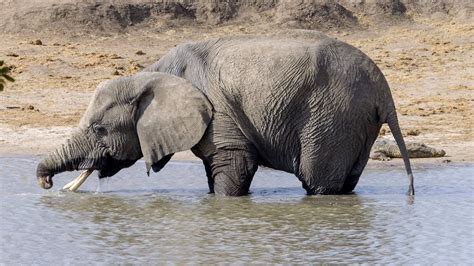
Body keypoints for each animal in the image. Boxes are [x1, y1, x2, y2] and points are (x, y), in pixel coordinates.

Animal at [37, 31, 414, 197]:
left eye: (99, 129)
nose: (46, 183)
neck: (151, 73)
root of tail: (384, 89)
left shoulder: (218, 111)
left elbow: (234, 163)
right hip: (355, 123)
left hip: (332, 118)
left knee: (317, 180)